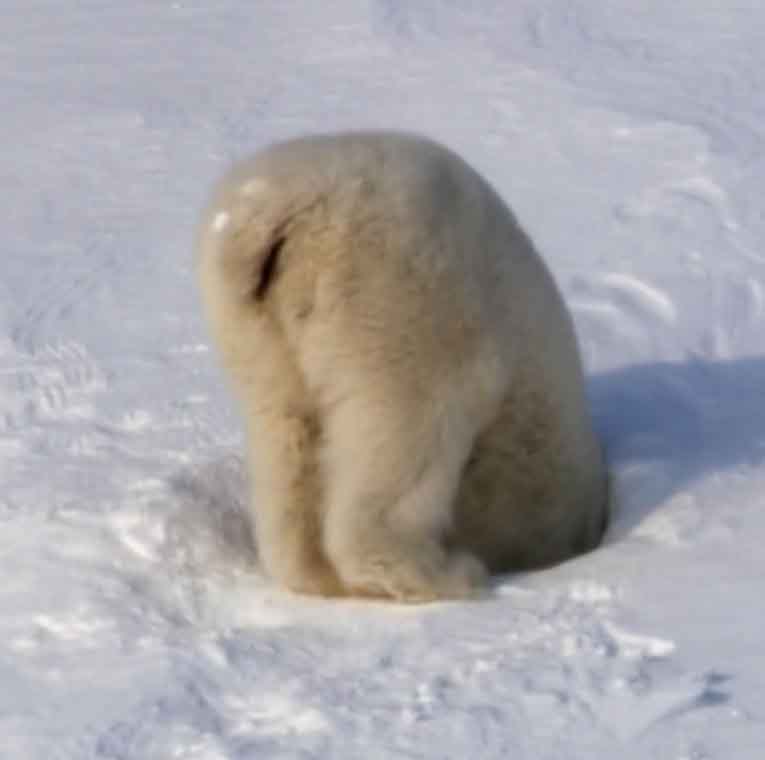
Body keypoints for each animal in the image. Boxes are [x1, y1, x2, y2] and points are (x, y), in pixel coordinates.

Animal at [197, 132, 608, 604]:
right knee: (412, 427)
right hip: (397, 301)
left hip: (255, 329)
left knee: (284, 433)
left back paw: (315, 572)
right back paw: (447, 573)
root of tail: (276, 216)